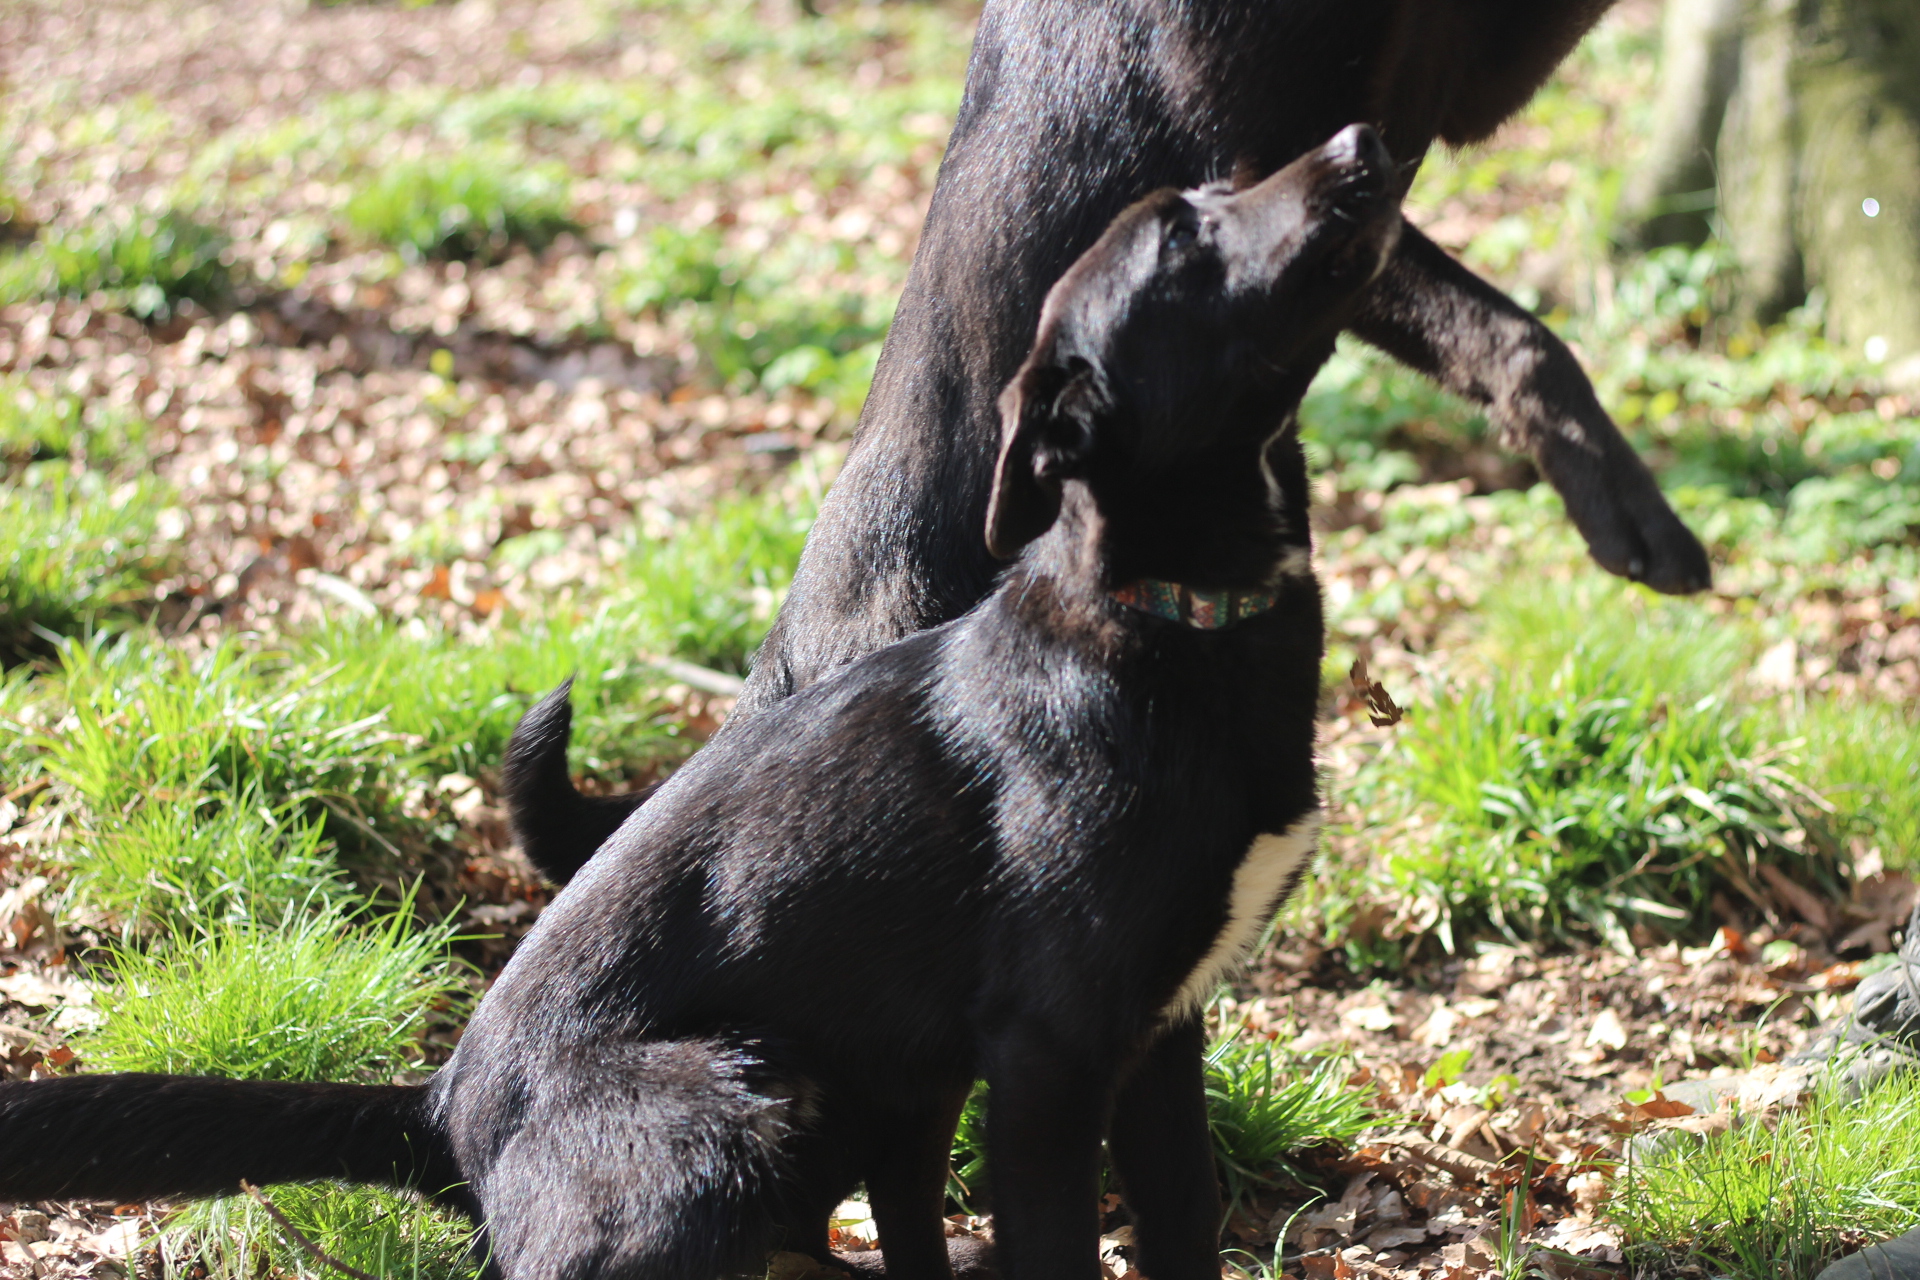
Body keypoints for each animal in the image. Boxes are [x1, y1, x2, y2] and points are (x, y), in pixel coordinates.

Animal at [0, 125, 1402, 1280]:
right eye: (1181, 237)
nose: (1363, 140)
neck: (1170, 616)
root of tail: (441, 1107)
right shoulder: (1050, 1059)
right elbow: (1056, 1243)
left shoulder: (1162, 1035)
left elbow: (1181, 1222)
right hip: (727, 1110)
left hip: (866, 1082)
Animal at [508, 0, 1712, 886]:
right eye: (1184, 227)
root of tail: (767, 680)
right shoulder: (1284, 174)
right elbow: (1512, 333)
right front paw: (1631, 512)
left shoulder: (1438, 92)